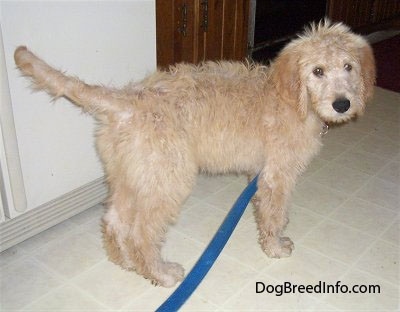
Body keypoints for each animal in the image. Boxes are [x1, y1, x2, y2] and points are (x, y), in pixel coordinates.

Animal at [13, 20, 376, 286]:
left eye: (348, 67)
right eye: (317, 71)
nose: (342, 104)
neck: (292, 98)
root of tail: (127, 99)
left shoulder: (260, 173)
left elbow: (269, 211)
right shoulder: (277, 174)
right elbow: (274, 213)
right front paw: (274, 247)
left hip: (132, 177)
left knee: (114, 221)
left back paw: (124, 262)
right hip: (168, 179)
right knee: (140, 232)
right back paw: (159, 273)